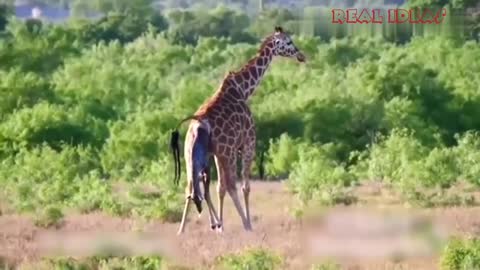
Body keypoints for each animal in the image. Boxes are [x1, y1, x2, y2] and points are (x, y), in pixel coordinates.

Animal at [171, 26, 306, 235]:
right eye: (289, 41)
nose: (301, 56)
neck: (244, 89)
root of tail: (198, 125)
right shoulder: (247, 143)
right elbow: (244, 186)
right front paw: (243, 223)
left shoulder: (217, 153)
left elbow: (219, 188)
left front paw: (220, 225)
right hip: (227, 152)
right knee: (230, 185)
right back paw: (244, 224)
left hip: (191, 155)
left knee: (192, 186)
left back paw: (184, 229)